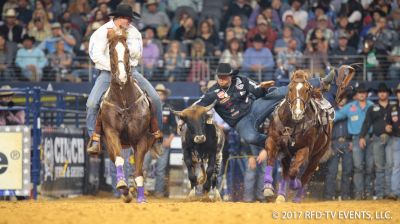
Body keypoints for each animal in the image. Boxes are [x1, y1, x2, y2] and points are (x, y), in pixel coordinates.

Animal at [99, 29, 155, 203]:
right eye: (110, 51)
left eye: (128, 51)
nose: (122, 77)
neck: (123, 101)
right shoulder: (111, 134)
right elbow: (119, 160)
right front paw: (123, 186)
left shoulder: (141, 139)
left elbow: (138, 172)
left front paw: (141, 198)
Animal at [262, 70, 332, 203]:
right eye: (290, 88)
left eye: (307, 90)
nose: (297, 113)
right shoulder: (272, 140)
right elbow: (271, 159)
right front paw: (267, 187)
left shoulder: (305, 149)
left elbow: (294, 171)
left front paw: (295, 184)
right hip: (287, 153)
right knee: (285, 171)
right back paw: (281, 196)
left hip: (318, 155)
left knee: (306, 175)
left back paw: (297, 197)